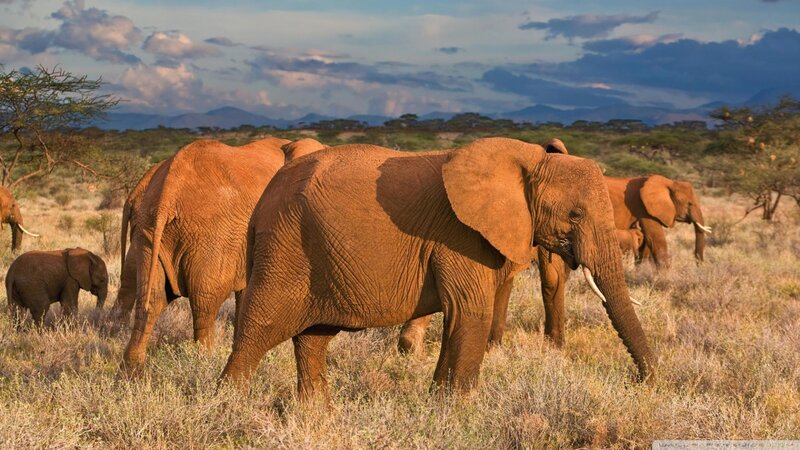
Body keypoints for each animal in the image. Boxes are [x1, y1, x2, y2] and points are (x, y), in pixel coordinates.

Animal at [119, 137, 327, 372]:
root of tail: (168, 194)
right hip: (211, 236)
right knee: (204, 302)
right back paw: (204, 362)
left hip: (149, 231)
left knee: (150, 297)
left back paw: (130, 369)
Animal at [220, 137, 656, 401]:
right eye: (575, 214)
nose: (639, 381)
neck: (528, 161)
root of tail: (263, 201)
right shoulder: (459, 235)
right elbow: (471, 312)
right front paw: (457, 411)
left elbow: (459, 317)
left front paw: (437, 402)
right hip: (285, 246)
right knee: (258, 331)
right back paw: (231, 407)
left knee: (313, 340)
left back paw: (316, 415)